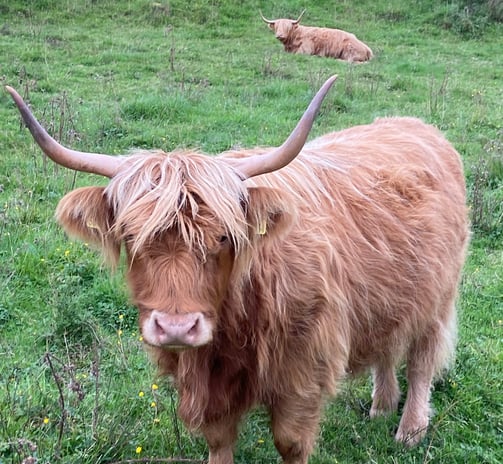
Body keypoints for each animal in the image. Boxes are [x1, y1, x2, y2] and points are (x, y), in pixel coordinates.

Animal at [5, 76, 468, 464]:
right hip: (389, 297)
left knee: (422, 360)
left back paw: (409, 430)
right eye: (130, 235)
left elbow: (290, 441)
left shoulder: (305, 370)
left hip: (438, 297)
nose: (177, 327)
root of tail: (416, 125)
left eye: (224, 238)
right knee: (387, 347)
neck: (235, 325)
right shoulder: (210, 388)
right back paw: (380, 407)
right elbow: (219, 439)